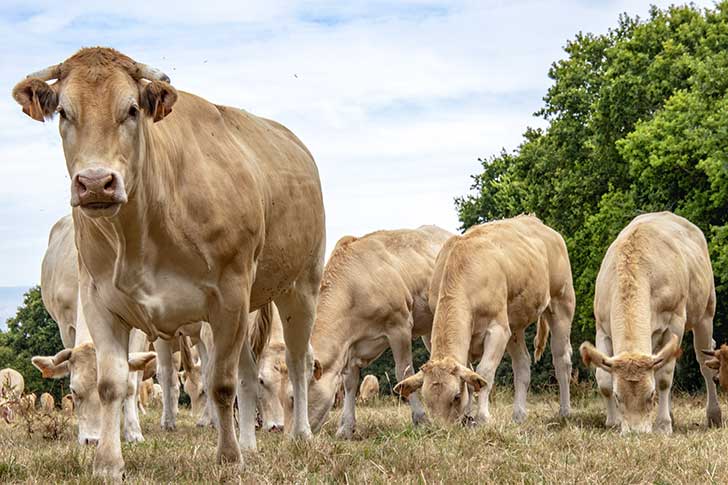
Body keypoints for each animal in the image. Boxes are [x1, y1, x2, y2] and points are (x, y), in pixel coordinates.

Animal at [278, 225, 450, 436]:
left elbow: (404, 373)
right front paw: (346, 428)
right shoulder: (350, 343)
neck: (354, 288)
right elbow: (350, 382)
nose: (289, 437)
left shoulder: (399, 325)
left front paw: (421, 419)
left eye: (293, 398)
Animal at [396, 216, 572, 424]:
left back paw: (565, 411)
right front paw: (468, 416)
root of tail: (535, 221)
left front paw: (481, 417)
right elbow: (470, 379)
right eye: (427, 399)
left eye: (456, 396)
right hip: (515, 325)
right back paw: (519, 415)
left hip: (562, 303)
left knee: (562, 360)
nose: (443, 429)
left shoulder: (498, 330)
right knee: (522, 365)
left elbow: (484, 373)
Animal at [580, 212, 724, 432]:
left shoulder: (674, 323)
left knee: (704, 363)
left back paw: (713, 415)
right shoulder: (602, 327)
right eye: (618, 396)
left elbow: (664, 377)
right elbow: (603, 379)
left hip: (706, 312)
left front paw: (664, 425)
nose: (635, 432)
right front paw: (613, 422)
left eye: (651, 394)